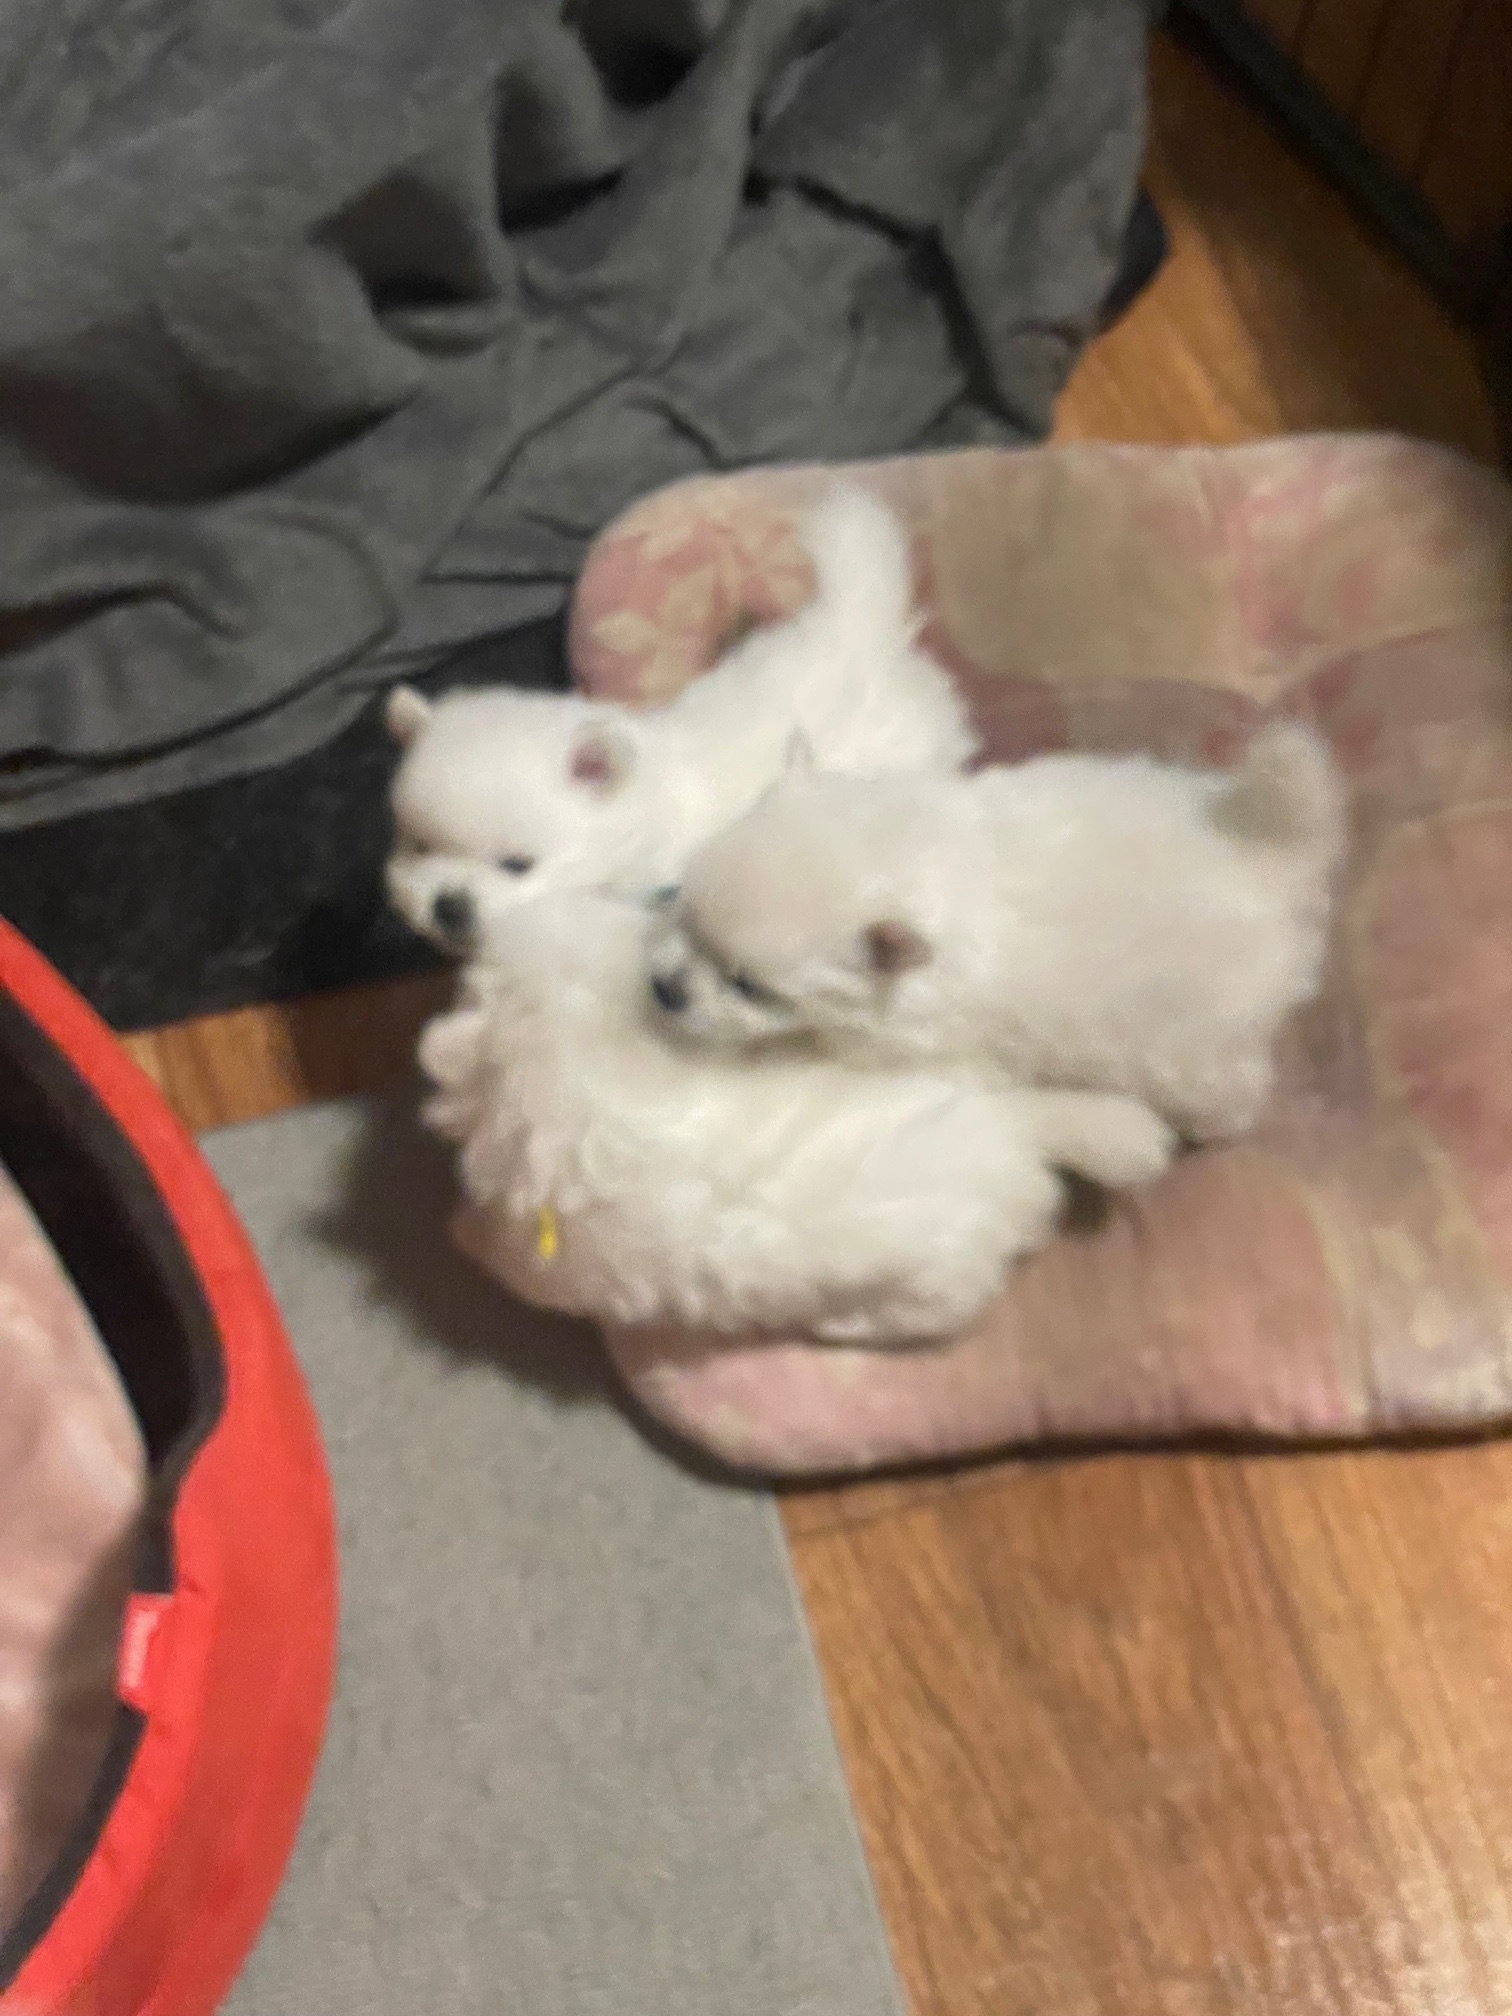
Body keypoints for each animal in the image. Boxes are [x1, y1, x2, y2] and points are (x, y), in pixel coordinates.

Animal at [647, 721, 1347, 1144]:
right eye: (682, 908)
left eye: (748, 987)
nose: (664, 991)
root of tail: (1270, 858)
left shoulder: (922, 1045)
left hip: (1195, 1051)